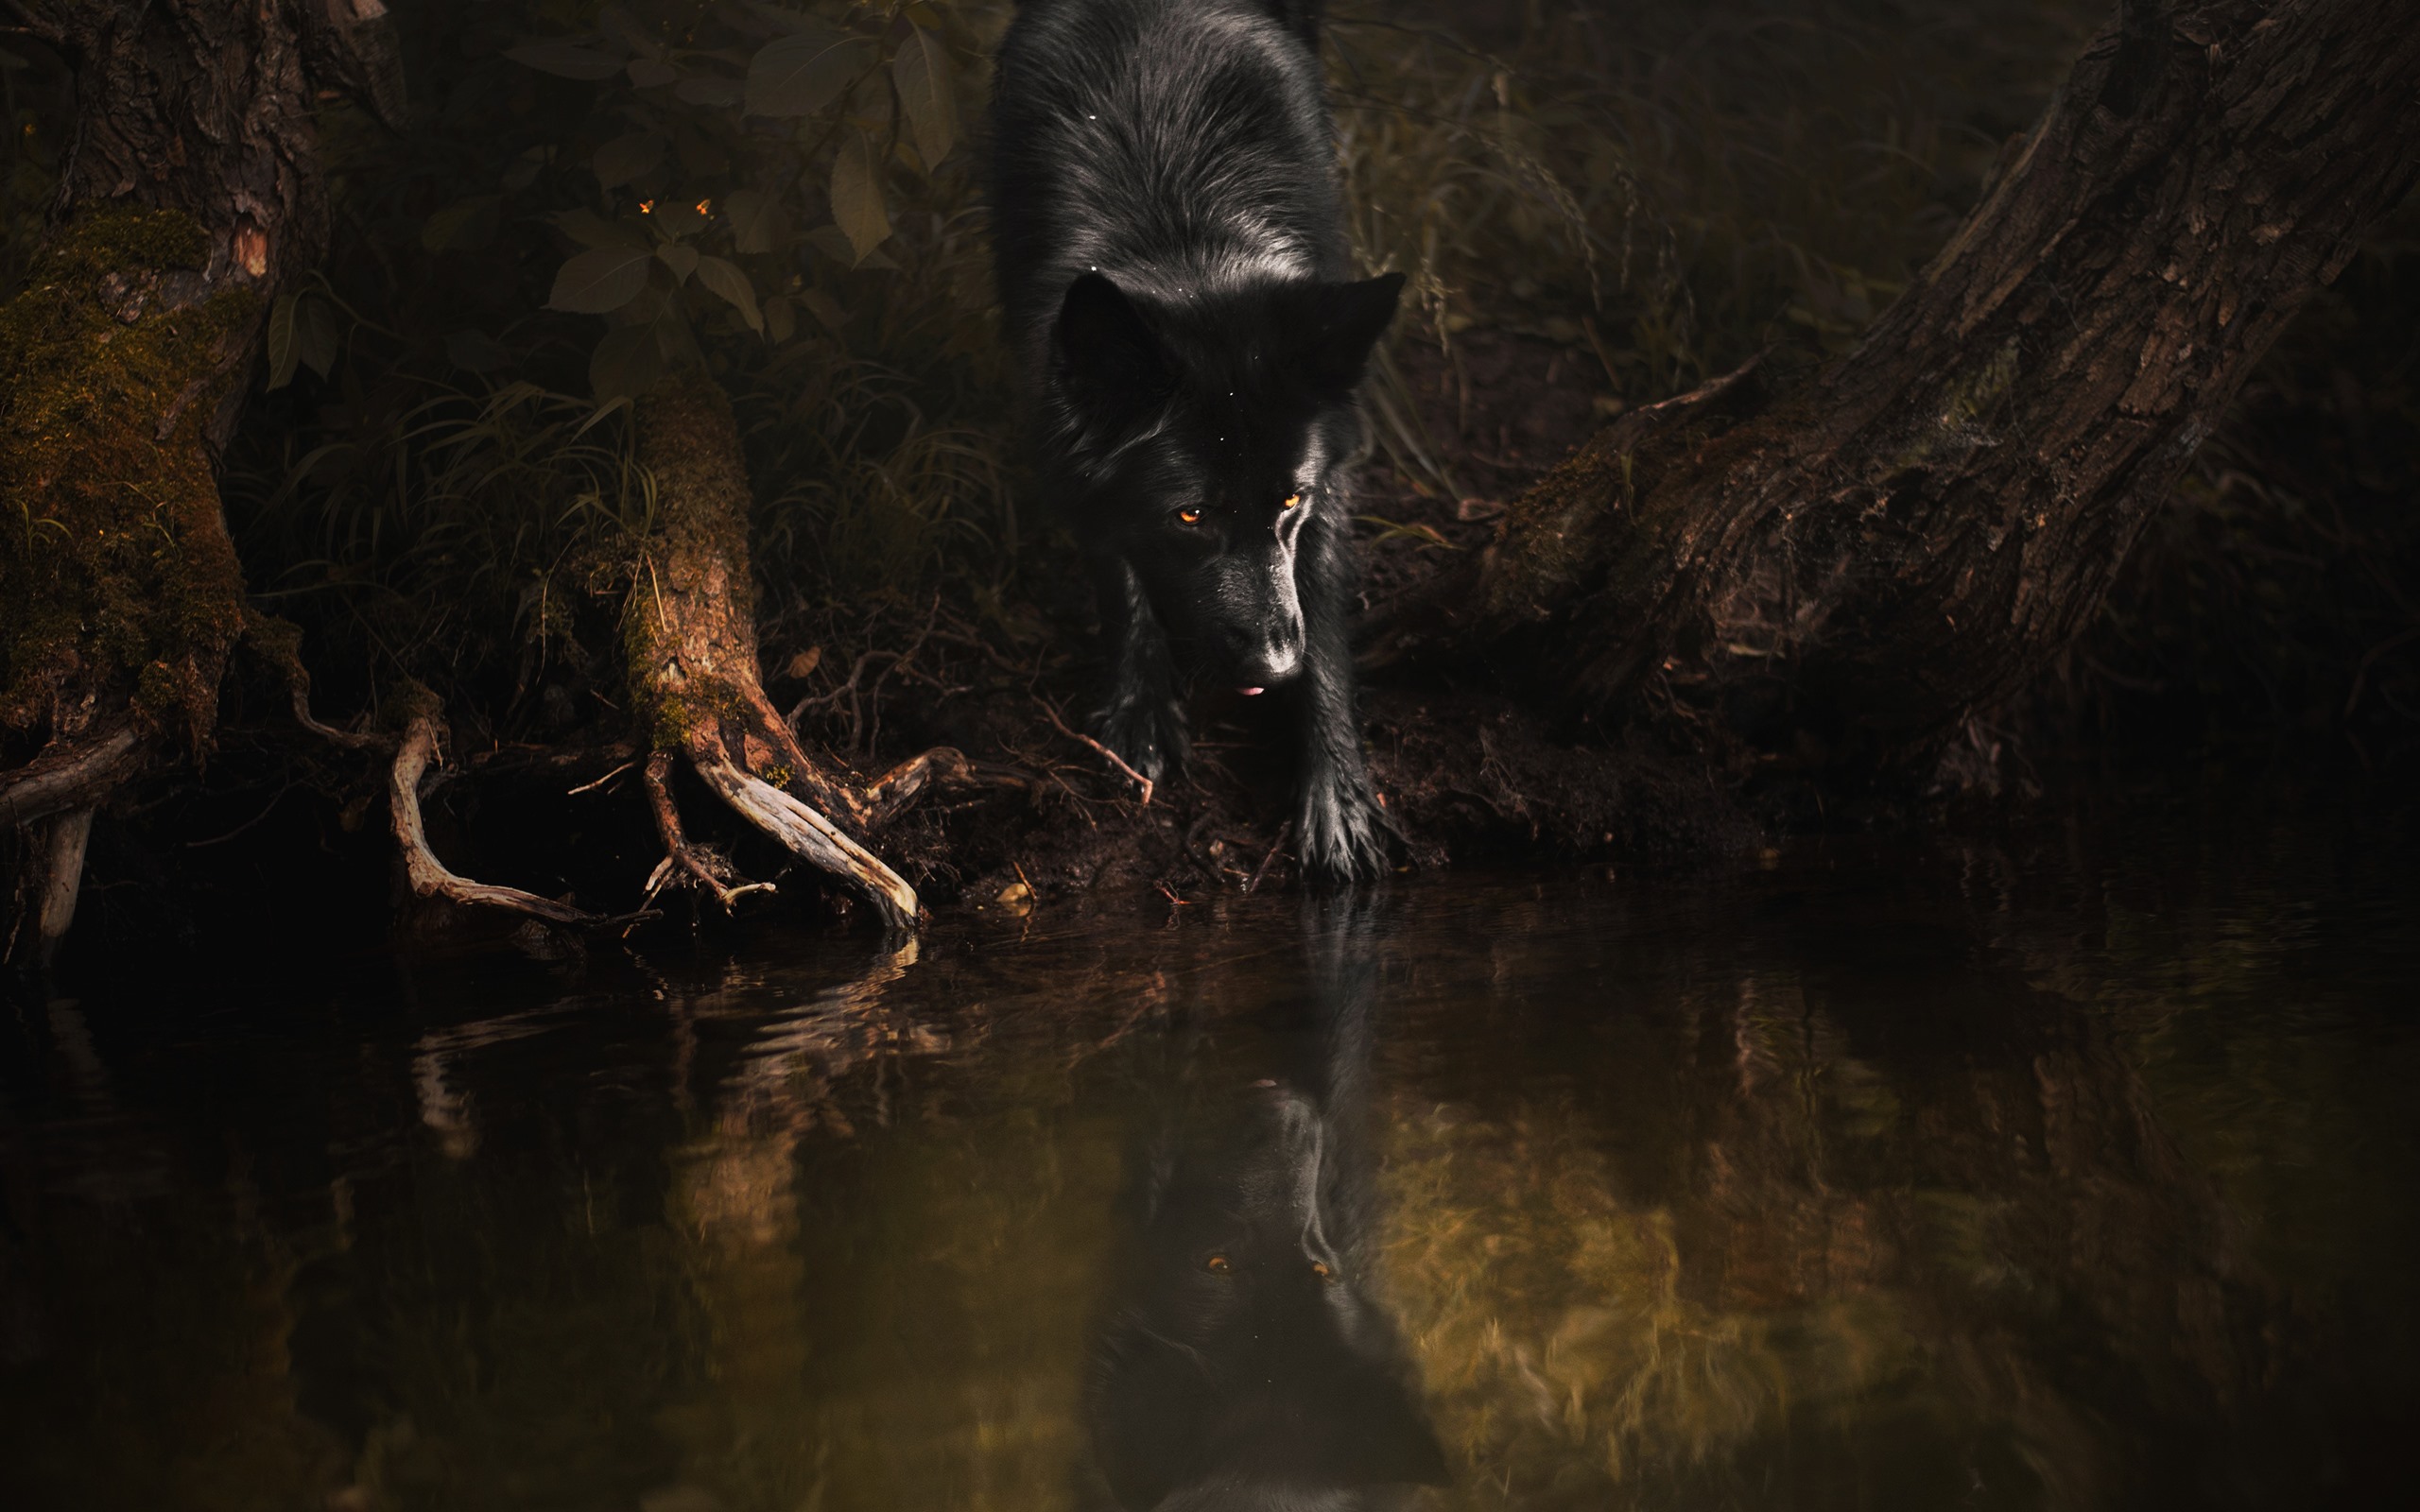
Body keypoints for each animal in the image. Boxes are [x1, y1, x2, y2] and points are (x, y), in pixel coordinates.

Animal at [992, 0, 1403, 885]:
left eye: (1289, 499)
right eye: (1190, 517)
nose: (1275, 670)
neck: (1184, 236)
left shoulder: (1329, 480)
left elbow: (1322, 611)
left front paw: (1337, 791)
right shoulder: (1075, 460)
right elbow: (1119, 579)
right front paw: (1140, 715)